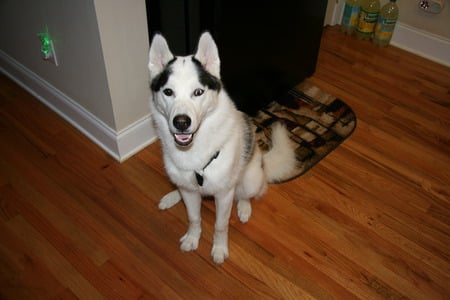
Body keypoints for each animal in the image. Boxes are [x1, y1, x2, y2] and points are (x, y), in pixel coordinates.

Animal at [148, 31, 298, 264]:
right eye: (168, 92)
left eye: (198, 92)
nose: (181, 122)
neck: (194, 151)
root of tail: (263, 161)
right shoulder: (190, 191)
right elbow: (193, 217)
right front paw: (193, 238)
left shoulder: (224, 194)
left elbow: (220, 225)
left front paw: (219, 249)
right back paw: (172, 196)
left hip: (250, 179)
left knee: (248, 193)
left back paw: (244, 208)